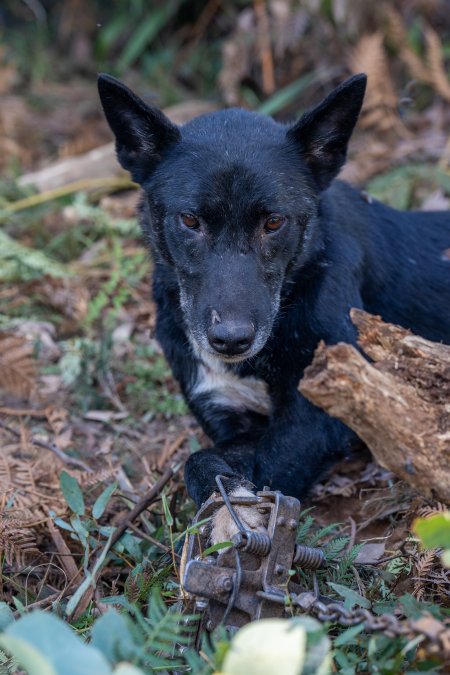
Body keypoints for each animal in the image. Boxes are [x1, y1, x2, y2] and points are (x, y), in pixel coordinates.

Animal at [99, 75, 450, 544]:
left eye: (273, 222)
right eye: (190, 221)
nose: (230, 340)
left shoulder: (322, 416)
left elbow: (253, 468)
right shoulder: (227, 414)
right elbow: (202, 461)